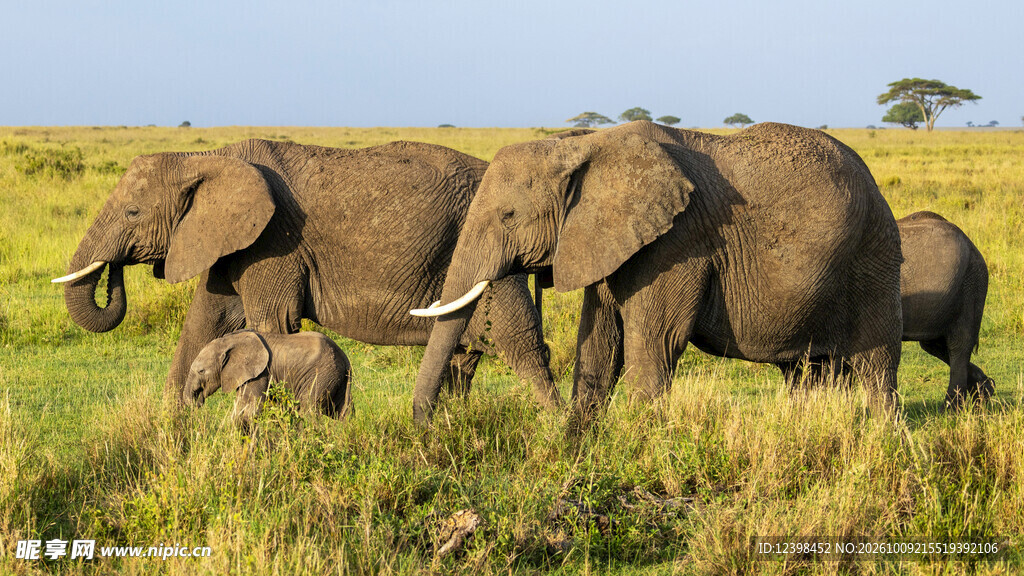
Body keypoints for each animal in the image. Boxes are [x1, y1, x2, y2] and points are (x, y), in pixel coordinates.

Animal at [53, 139, 562, 411]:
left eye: (133, 213)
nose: (115, 272)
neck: (205, 157)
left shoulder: (274, 241)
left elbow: (270, 327)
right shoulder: (231, 244)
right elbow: (204, 322)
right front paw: (172, 437)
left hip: (496, 251)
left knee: (520, 343)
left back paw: (557, 436)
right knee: (463, 356)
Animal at [184, 330, 352, 429]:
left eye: (201, 371)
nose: (197, 401)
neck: (231, 340)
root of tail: (345, 358)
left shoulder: (260, 373)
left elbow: (251, 408)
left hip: (321, 375)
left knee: (307, 410)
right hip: (338, 378)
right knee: (344, 411)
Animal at [411, 121, 903, 424]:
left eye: (509, 216)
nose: (428, 429)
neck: (583, 144)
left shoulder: (676, 242)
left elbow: (654, 342)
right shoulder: (607, 240)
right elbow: (599, 343)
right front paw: (578, 450)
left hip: (873, 257)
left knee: (877, 367)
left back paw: (884, 439)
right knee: (807, 371)